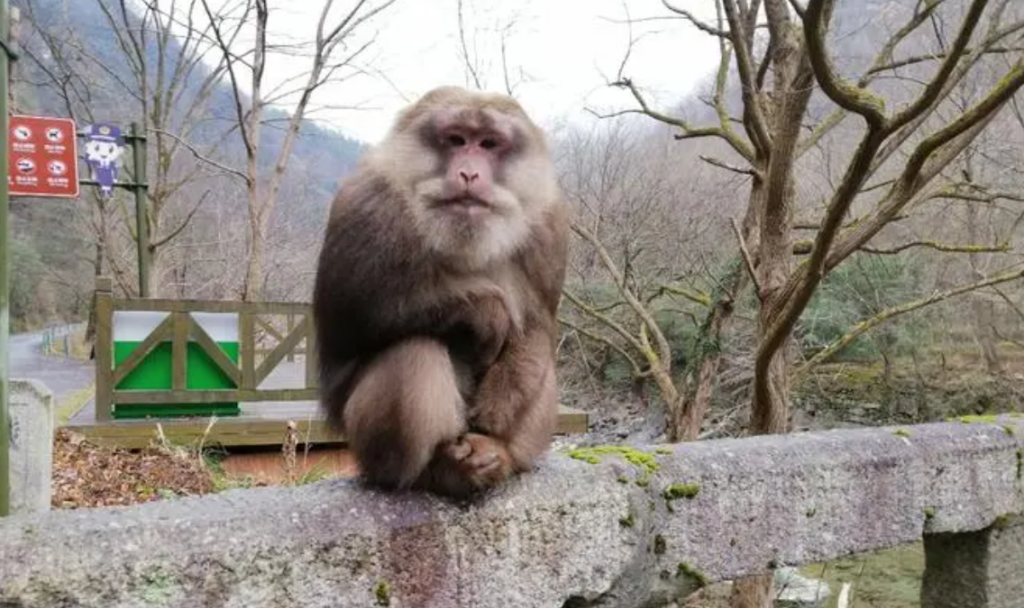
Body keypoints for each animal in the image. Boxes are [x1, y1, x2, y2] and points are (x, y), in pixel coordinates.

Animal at [309, 82, 569, 495]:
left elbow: (537, 327)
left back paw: (499, 454)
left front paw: (497, 415)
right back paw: (436, 470)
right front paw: (485, 313)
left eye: (488, 144)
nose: (468, 173)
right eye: (456, 139)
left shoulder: (550, 226)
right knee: (414, 350)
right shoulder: (365, 206)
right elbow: (348, 319)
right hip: (365, 449)